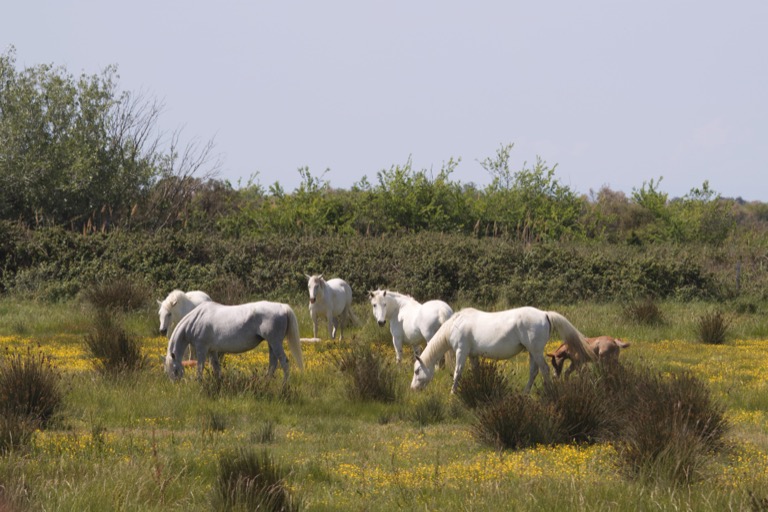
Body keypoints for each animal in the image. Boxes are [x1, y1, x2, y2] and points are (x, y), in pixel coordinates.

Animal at [164, 301, 304, 383]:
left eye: (175, 369)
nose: (176, 385)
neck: (196, 319)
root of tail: (283, 307)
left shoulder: (201, 349)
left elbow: (200, 367)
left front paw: (199, 383)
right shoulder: (212, 351)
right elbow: (216, 367)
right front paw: (219, 383)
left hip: (275, 342)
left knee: (284, 363)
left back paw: (284, 387)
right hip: (271, 343)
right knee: (273, 364)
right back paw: (265, 383)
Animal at [411, 306, 596, 394]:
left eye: (417, 371)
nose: (413, 388)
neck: (456, 324)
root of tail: (544, 314)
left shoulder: (461, 351)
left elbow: (458, 373)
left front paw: (452, 393)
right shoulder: (472, 355)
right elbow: (476, 371)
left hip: (536, 351)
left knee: (544, 369)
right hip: (531, 352)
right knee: (534, 371)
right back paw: (525, 393)